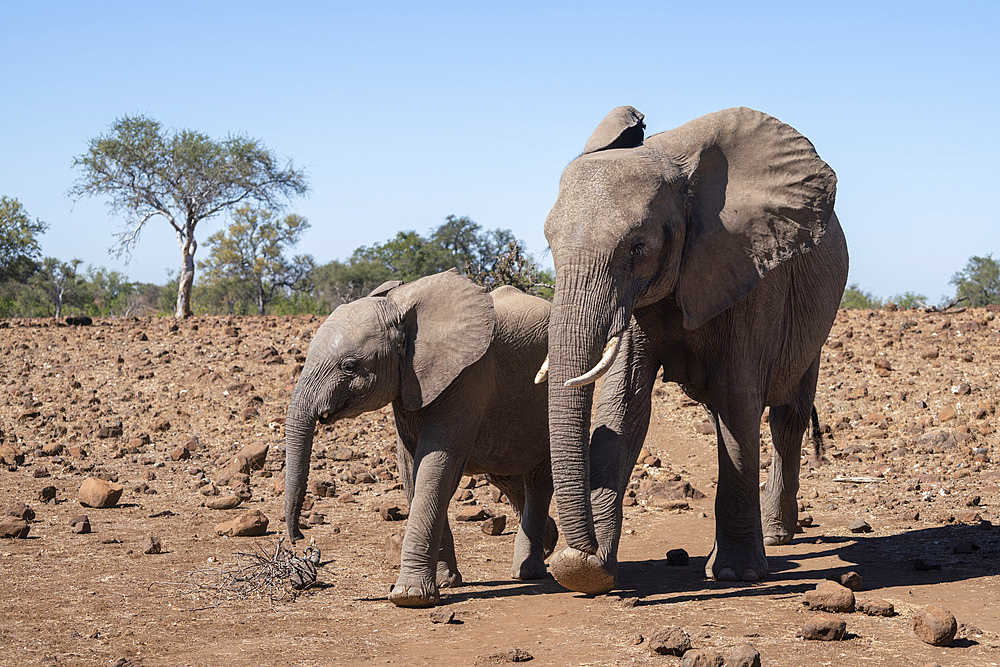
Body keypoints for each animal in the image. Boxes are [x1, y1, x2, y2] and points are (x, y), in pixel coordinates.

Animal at [284, 268, 556, 608]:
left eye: (349, 366)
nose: (301, 540)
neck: (401, 308)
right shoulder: (408, 383)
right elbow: (410, 468)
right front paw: (445, 582)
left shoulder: (469, 375)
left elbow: (435, 465)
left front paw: (410, 597)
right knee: (506, 476)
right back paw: (547, 545)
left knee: (538, 479)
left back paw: (528, 572)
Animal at [544, 105, 848, 596]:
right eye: (549, 242)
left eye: (639, 247)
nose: (576, 553)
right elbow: (623, 404)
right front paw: (588, 572)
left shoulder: (753, 269)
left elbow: (737, 398)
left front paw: (737, 575)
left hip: (816, 322)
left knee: (787, 416)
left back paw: (777, 535)